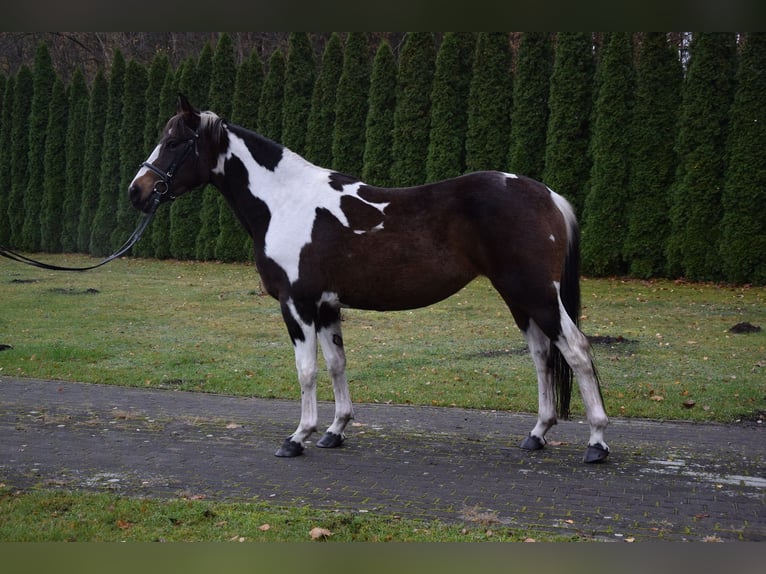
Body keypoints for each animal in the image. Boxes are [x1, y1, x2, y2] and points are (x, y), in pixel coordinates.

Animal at [129, 95, 610, 464]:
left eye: (174, 142)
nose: (138, 191)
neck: (285, 202)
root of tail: (548, 195)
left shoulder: (296, 304)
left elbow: (306, 370)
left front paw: (298, 437)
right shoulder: (326, 305)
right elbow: (337, 364)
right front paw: (335, 430)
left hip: (537, 294)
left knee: (576, 350)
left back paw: (597, 442)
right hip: (519, 297)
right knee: (542, 355)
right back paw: (538, 434)